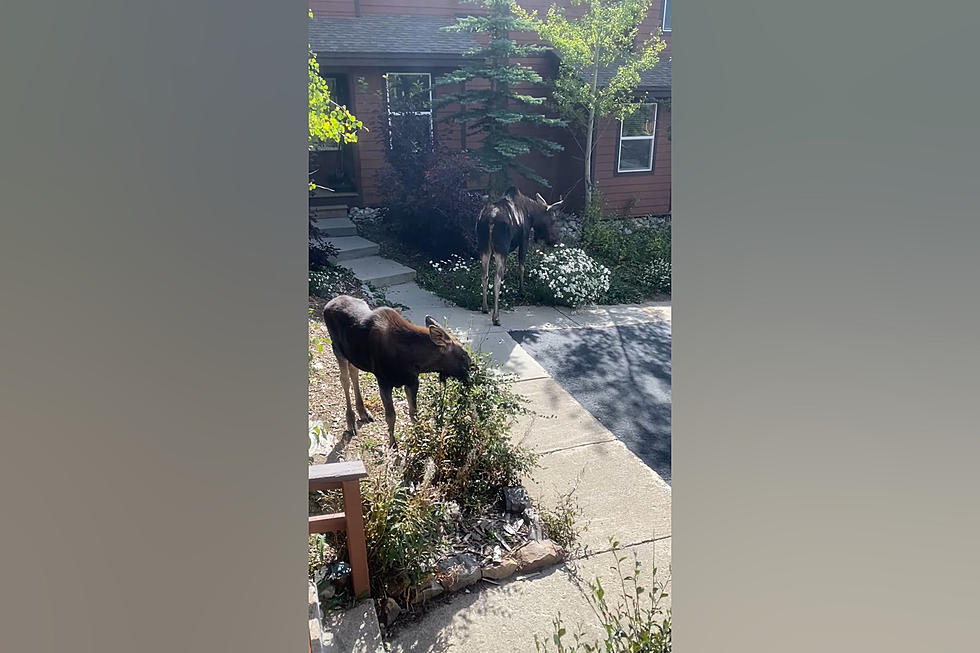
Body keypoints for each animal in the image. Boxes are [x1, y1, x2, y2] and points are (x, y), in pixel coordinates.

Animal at [324, 296, 472, 446]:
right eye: (464, 355)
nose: (472, 372)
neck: (412, 360)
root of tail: (328, 304)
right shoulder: (384, 381)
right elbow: (391, 416)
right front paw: (393, 445)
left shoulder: (412, 382)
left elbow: (414, 413)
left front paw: (418, 439)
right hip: (337, 348)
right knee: (344, 380)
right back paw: (350, 421)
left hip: (352, 355)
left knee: (354, 373)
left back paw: (363, 412)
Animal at [476, 186, 564, 324]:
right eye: (554, 219)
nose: (555, 240)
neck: (532, 216)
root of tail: (490, 220)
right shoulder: (524, 240)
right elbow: (521, 267)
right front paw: (521, 291)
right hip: (501, 249)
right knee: (496, 278)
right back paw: (496, 317)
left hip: (484, 247)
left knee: (484, 276)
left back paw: (485, 308)